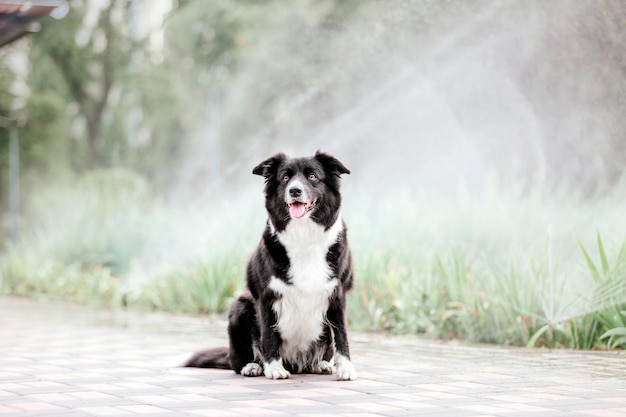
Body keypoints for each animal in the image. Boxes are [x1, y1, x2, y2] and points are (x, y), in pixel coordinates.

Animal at [184, 150, 356, 380]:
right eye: (285, 177)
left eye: (312, 176)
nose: (294, 190)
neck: (304, 236)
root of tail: (296, 364)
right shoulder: (266, 296)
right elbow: (269, 335)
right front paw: (273, 368)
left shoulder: (337, 295)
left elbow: (341, 335)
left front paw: (346, 368)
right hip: (240, 307)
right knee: (237, 360)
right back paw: (253, 366)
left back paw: (320, 364)